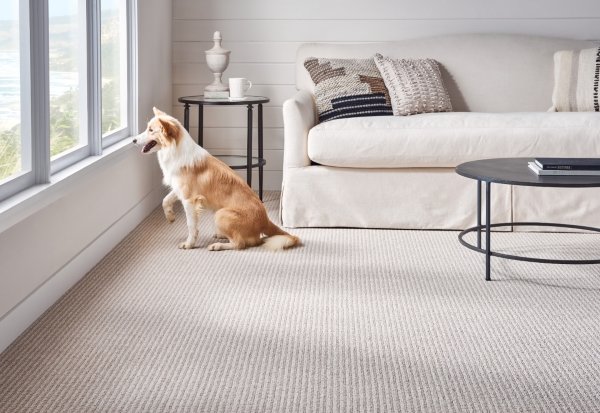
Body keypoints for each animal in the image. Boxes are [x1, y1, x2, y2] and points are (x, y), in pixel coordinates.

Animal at [133, 107, 298, 251]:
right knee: (251, 240)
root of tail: (265, 220)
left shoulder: (189, 200)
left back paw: (218, 245)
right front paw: (170, 217)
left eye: (151, 130)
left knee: (241, 244)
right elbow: (165, 200)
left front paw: (189, 244)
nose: (133, 140)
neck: (175, 151)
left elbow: (191, 226)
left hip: (221, 214)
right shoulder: (179, 189)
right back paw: (222, 236)